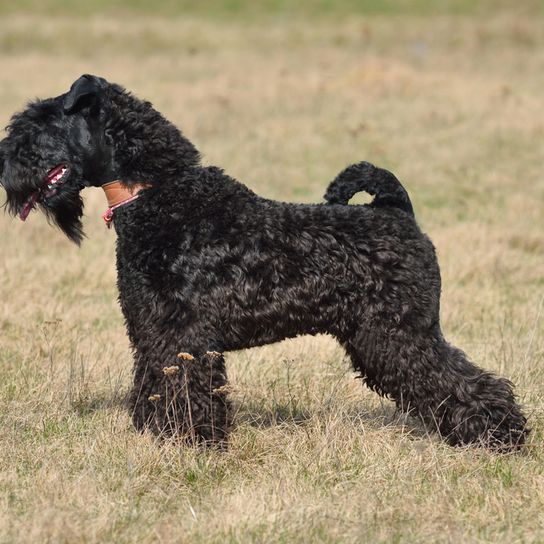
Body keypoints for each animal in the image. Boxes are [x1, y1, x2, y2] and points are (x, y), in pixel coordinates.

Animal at [0, 75, 528, 450]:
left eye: (39, 124)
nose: (5, 165)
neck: (158, 195)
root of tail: (397, 211)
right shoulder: (151, 330)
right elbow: (153, 382)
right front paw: (157, 436)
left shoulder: (184, 333)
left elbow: (187, 388)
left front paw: (192, 443)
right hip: (379, 335)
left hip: (400, 333)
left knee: (464, 380)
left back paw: (501, 435)